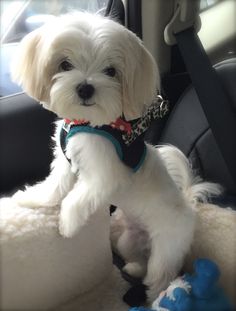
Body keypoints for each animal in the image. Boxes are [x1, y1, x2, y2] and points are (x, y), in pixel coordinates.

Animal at [11, 12, 221, 302]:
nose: (85, 88)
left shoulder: (105, 176)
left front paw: (67, 224)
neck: (86, 122)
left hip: (167, 247)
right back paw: (133, 267)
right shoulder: (66, 161)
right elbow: (54, 186)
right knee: (139, 258)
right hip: (128, 239)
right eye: (65, 64)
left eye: (111, 71)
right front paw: (32, 199)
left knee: (159, 275)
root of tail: (188, 205)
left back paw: (162, 298)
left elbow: (76, 198)